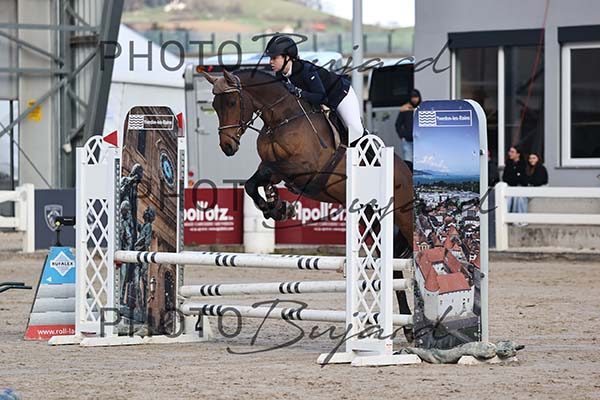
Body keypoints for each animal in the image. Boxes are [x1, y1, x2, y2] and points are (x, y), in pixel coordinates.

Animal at [202, 68, 414, 338]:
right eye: (214, 106)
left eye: (231, 102)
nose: (227, 146)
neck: (281, 118)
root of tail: (407, 168)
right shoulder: (274, 169)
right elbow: (253, 183)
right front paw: (275, 207)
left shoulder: (306, 167)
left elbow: (269, 170)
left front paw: (278, 206)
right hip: (372, 220)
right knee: (394, 268)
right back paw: (406, 325)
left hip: (402, 216)